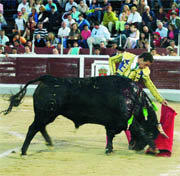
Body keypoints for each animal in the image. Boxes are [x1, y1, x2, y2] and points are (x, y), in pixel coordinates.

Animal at [2, 75, 159, 155]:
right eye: (153, 133)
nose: (135, 147)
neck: (133, 97)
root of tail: (48, 78)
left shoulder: (112, 123)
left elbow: (110, 135)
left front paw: (109, 149)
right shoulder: (126, 120)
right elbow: (140, 130)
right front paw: (155, 148)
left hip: (47, 115)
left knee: (39, 127)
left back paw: (49, 143)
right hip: (45, 114)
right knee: (32, 128)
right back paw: (24, 151)